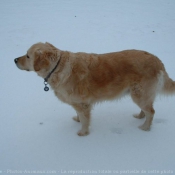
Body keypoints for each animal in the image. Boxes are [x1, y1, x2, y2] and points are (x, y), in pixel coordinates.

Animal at [14, 42, 175, 135]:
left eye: (27, 56)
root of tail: (157, 60)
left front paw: (82, 132)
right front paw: (77, 119)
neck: (58, 67)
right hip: (140, 94)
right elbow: (79, 115)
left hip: (140, 94)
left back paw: (145, 127)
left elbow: (85, 120)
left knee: (151, 112)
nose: (14, 59)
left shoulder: (83, 103)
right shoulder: (77, 103)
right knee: (147, 109)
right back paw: (140, 117)